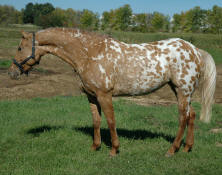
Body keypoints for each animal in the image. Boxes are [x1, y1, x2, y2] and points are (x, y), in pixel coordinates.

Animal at [7, 28, 217, 157]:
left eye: (19, 47)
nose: (11, 72)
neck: (89, 54)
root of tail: (195, 50)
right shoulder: (92, 96)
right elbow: (96, 121)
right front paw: (95, 146)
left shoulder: (104, 95)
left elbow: (110, 121)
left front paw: (114, 150)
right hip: (180, 91)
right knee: (191, 115)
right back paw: (187, 148)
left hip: (183, 91)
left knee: (183, 117)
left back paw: (172, 150)